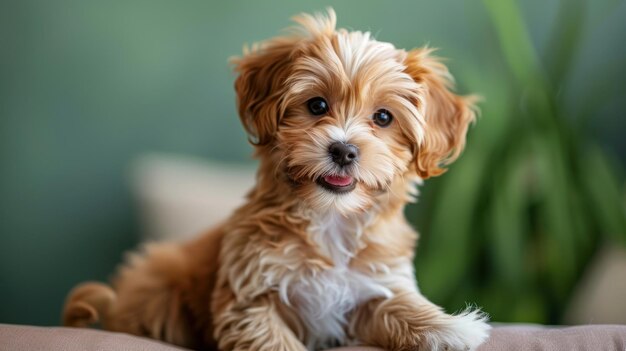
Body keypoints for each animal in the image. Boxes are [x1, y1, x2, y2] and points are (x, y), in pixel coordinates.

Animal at [62, 8, 488, 351]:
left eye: (383, 117)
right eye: (317, 105)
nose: (344, 150)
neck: (331, 220)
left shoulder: (373, 284)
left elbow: (397, 305)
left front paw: (451, 328)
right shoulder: (250, 296)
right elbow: (271, 339)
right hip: (160, 281)